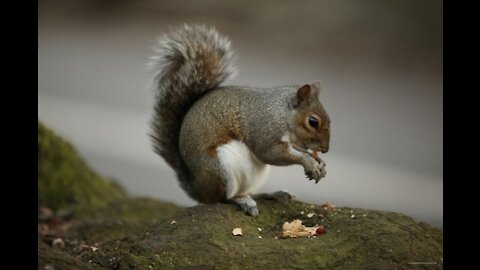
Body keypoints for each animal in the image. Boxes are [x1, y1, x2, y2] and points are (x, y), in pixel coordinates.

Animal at [150, 24, 330, 216]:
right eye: (313, 121)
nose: (325, 149)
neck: (281, 113)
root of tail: (197, 189)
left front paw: (319, 162)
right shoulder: (263, 128)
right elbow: (269, 153)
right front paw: (308, 161)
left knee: (250, 192)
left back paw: (273, 194)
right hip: (219, 168)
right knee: (223, 198)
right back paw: (241, 200)